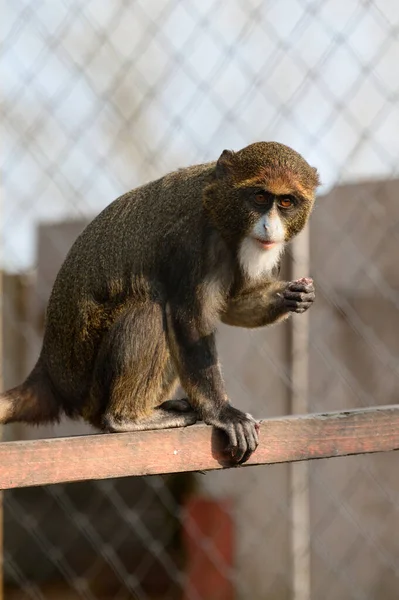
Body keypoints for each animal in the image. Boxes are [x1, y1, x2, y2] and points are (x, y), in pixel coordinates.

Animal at [0, 142, 318, 464]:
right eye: (260, 197)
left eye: (286, 202)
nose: (270, 227)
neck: (217, 208)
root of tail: (50, 374)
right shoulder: (188, 243)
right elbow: (189, 319)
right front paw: (223, 413)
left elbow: (230, 305)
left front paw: (294, 295)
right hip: (90, 389)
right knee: (150, 310)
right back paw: (127, 418)